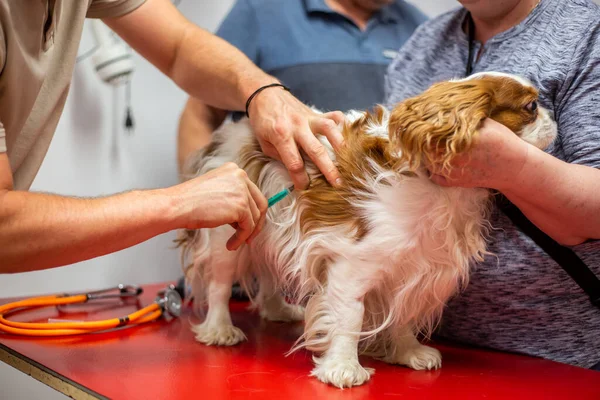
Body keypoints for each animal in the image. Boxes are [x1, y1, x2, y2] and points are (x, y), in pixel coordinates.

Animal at [178, 72, 556, 388]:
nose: (552, 117)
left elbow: (403, 314)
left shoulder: (415, 267)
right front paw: (343, 368)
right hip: (231, 231)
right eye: (531, 106)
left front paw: (407, 352)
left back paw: (278, 310)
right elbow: (351, 317)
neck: (435, 184)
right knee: (219, 285)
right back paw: (220, 329)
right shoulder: (352, 266)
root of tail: (231, 132)